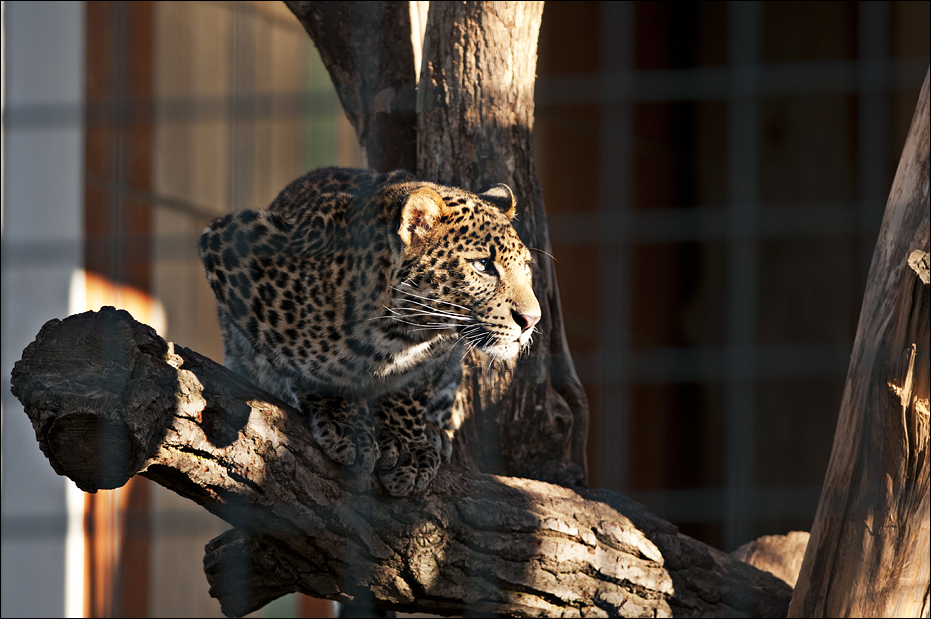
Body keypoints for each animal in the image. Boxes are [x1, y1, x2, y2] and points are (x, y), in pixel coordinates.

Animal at [198, 167, 541, 496]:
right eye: (482, 266)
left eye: (526, 267)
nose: (532, 320)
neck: (398, 330)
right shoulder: (229, 242)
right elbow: (307, 367)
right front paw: (342, 415)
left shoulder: (435, 354)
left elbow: (410, 389)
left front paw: (407, 444)